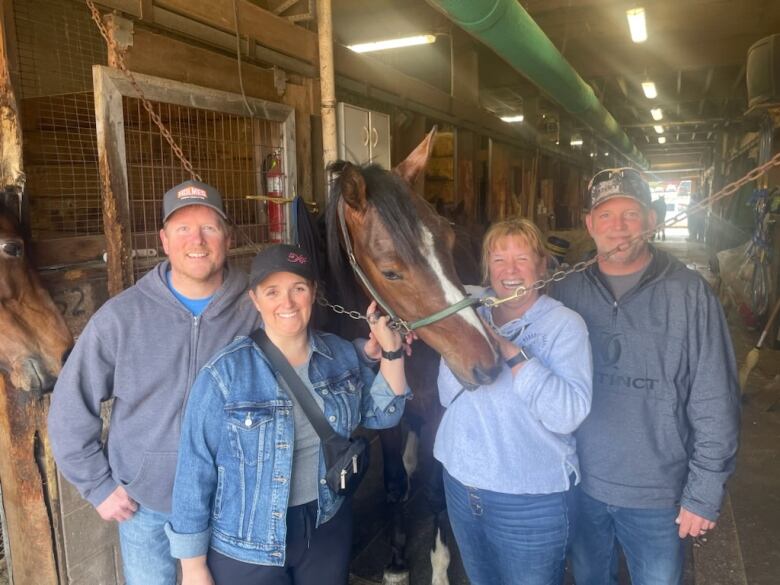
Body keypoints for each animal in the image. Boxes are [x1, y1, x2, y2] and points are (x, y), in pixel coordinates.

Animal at [322, 131, 500, 584]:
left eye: (448, 243)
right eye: (390, 271)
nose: (487, 362)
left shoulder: (438, 411)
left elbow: (437, 495)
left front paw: (438, 568)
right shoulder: (385, 416)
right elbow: (393, 484)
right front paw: (397, 562)